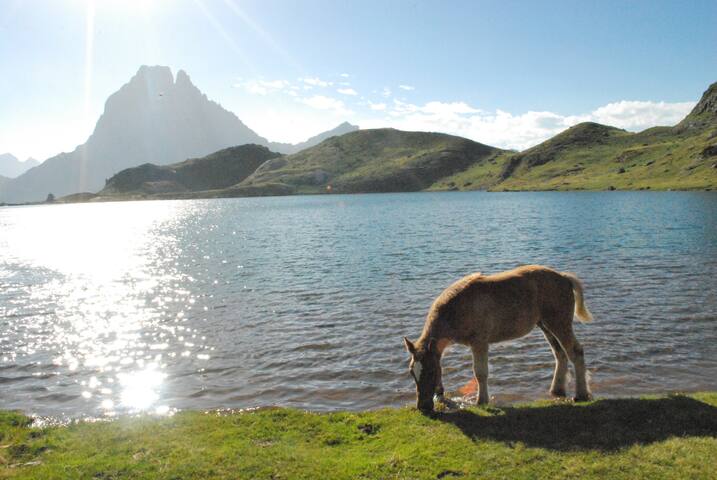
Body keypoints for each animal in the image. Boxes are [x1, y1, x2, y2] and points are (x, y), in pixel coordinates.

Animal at [402, 264, 592, 410]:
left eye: (431, 371)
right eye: (412, 372)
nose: (423, 407)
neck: (458, 308)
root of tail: (564, 278)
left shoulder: (479, 342)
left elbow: (480, 373)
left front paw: (481, 401)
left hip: (559, 323)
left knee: (575, 352)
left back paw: (581, 395)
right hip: (545, 325)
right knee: (560, 354)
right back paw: (557, 390)